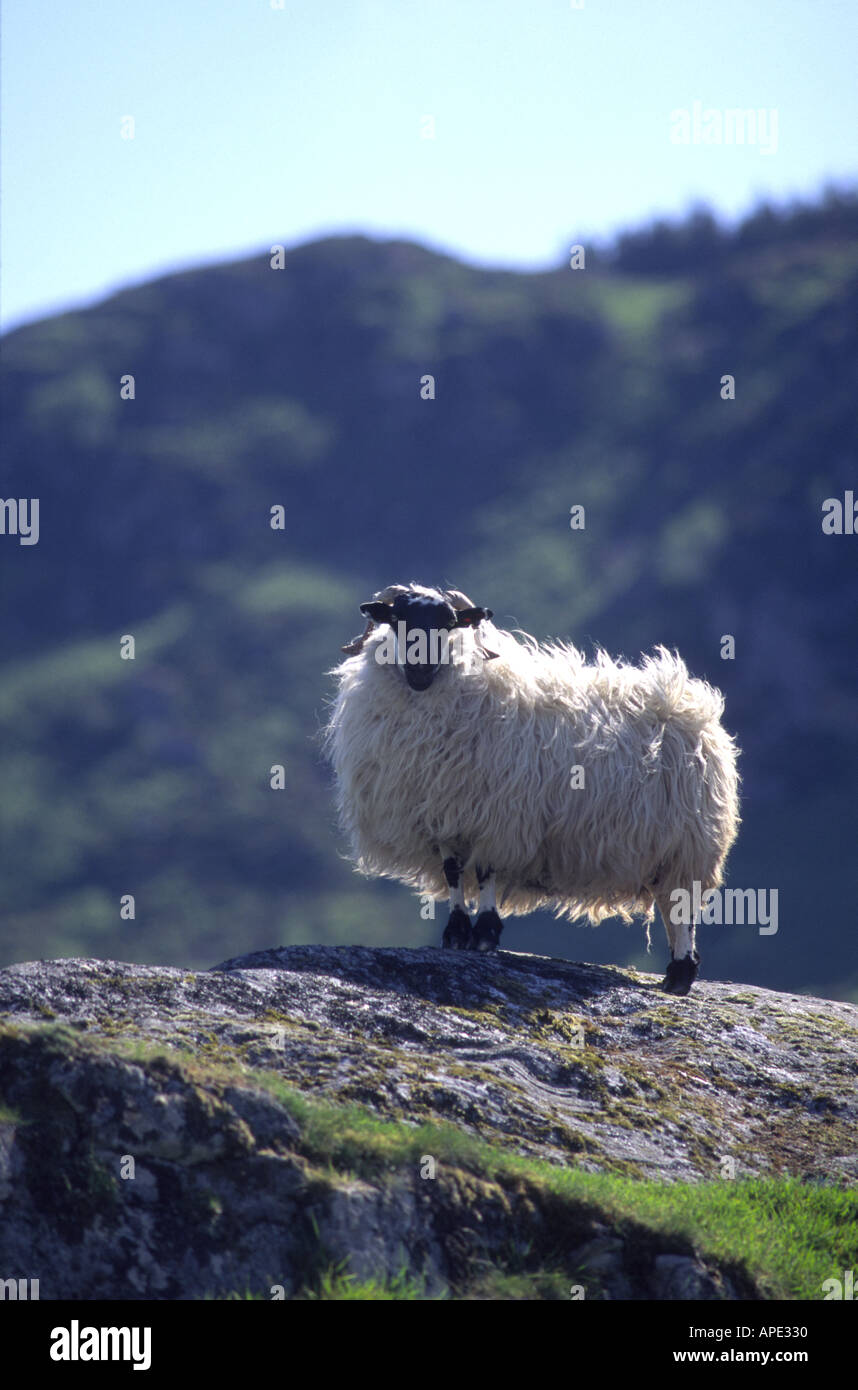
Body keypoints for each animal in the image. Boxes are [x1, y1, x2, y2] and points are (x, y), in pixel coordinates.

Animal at [324, 581, 739, 995]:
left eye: (449, 623)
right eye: (397, 619)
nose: (420, 669)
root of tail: (695, 707)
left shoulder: (497, 814)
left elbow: (485, 871)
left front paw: (485, 935)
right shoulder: (443, 813)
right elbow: (453, 871)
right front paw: (456, 934)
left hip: (688, 844)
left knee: (681, 907)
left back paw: (680, 974)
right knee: (671, 908)